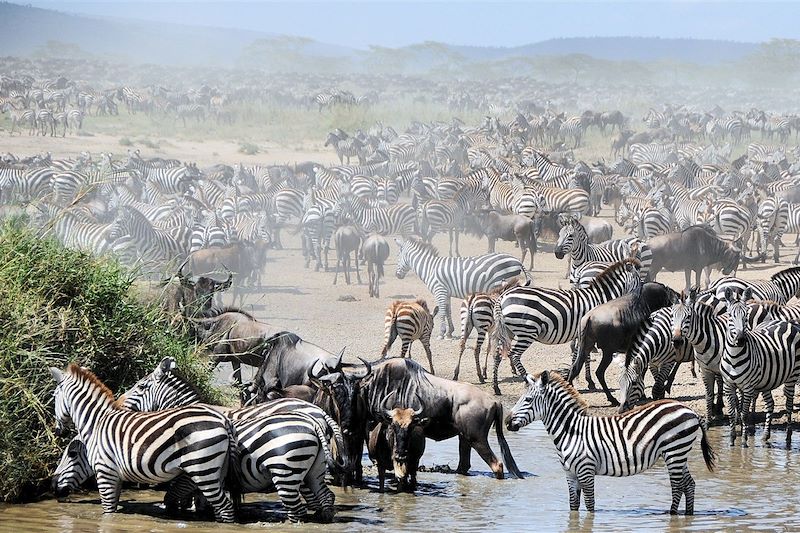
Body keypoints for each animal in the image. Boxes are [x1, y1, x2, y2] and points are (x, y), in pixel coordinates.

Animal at [48, 364, 236, 520]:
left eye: (72, 454)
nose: (53, 485)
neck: (96, 423)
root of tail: (223, 419)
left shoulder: (105, 473)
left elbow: (108, 514)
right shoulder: (116, 477)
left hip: (202, 470)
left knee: (225, 508)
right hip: (217, 471)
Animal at [396, 236, 532, 338]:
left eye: (398, 256)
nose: (397, 275)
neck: (430, 268)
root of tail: (517, 260)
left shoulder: (439, 290)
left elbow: (442, 311)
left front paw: (441, 333)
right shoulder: (446, 292)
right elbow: (448, 311)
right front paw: (449, 332)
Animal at [490, 258, 640, 394]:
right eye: (639, 279)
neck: (599, 298)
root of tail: (503, 296)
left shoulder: (582, 334)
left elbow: (579, 356)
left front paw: (576, 379)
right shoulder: (585, 333)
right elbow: (583, 356)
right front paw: (586, 381)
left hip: (508, 331)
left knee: (498, 354)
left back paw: (496, 387)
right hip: (527, 331)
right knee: (515, 355)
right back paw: (528, 382)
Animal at [506, 370, 712, 516]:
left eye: (528, 399)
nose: (507, 422)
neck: (571, 431)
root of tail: (691, 411)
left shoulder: (586, 471)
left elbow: (590, 506)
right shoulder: (570, 474)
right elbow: (573, 506)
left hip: (673, 452)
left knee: (677, 487)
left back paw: (672, 515)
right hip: (679, 454)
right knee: (689, 485)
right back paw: (688, 516)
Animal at [720, 286, 800, 444]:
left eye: (746, 316)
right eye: (731, 316)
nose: (741, 339)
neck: (734, 356)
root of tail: (786, 322)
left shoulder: (748, 386)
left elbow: (744, 414)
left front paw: (744, 442)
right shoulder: (728, 385)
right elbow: (732, 413)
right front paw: (732, 441)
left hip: (792, 375)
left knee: (788, 403)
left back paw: (788, 437)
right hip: (767, 380)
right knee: (770, 404)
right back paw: (765, 435)